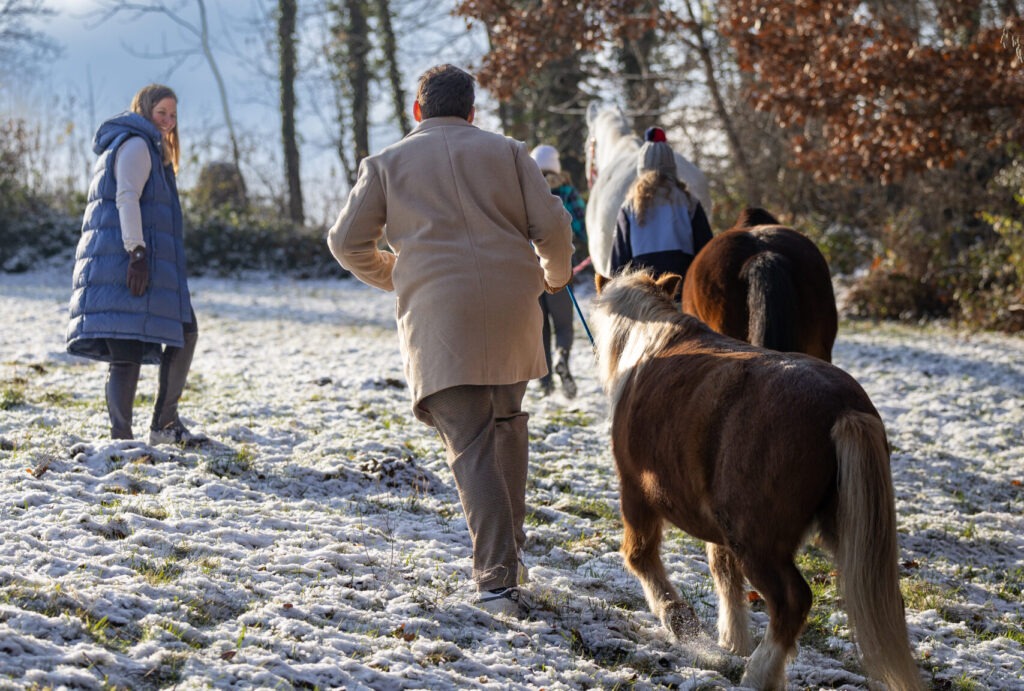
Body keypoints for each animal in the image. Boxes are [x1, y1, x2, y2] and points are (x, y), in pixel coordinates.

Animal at [590, 269, 920, 691]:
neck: (651, 345)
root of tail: (843, 408)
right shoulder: (719, 526)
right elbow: (724, 572)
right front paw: (732, 640)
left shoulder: (635, 493)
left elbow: (640, 556)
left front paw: (678, 620)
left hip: (759, 544)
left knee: (793, 601)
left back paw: (759, 674)